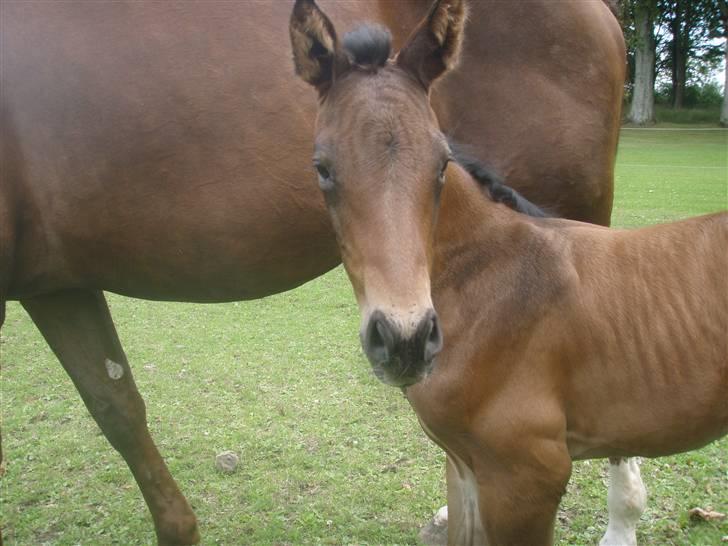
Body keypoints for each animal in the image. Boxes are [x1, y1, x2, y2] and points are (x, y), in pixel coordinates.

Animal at [290, 2, 728, 540]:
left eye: (442, 162)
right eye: (322, 168)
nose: (405, 340)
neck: (487, 272)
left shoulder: (528, 473)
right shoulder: (465, 468)